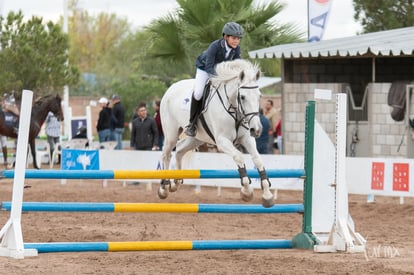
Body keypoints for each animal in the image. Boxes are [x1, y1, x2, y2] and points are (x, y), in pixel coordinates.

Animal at [159, 59, 274, 208]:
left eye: (259, 96)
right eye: (242, 97)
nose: (257, 129)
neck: (234, 109)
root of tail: (171, 88)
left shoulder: (246, 139)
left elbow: (258, 160)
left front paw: (267, 195)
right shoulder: (222, 141)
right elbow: (239, 157)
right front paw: (247, 192)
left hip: (197, 138)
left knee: (179, 150)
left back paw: (176, 182)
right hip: (171, 134)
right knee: (166, 154)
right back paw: (164, 187)